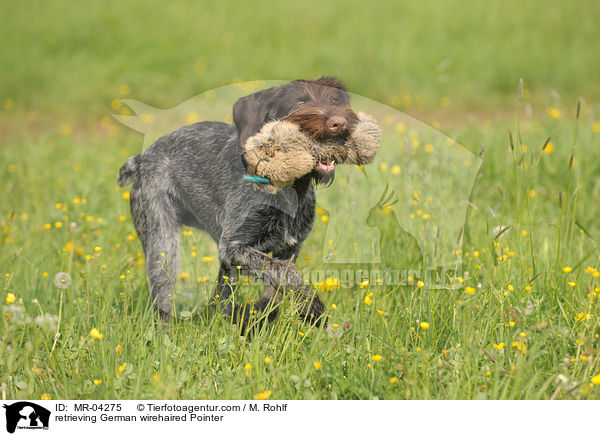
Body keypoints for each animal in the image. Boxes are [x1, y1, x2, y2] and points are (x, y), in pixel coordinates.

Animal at [119, 76, 358, 326]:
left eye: (335, 100)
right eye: (299, 103)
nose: (340, 123)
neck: (291, 189)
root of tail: (142, 158)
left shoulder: (289, 249)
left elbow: (277, 284)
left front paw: (265, 312)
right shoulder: (234, 248)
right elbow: (284, 274)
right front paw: (311, 306)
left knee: (220, 298)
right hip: (163, 244)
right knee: (164, 297)